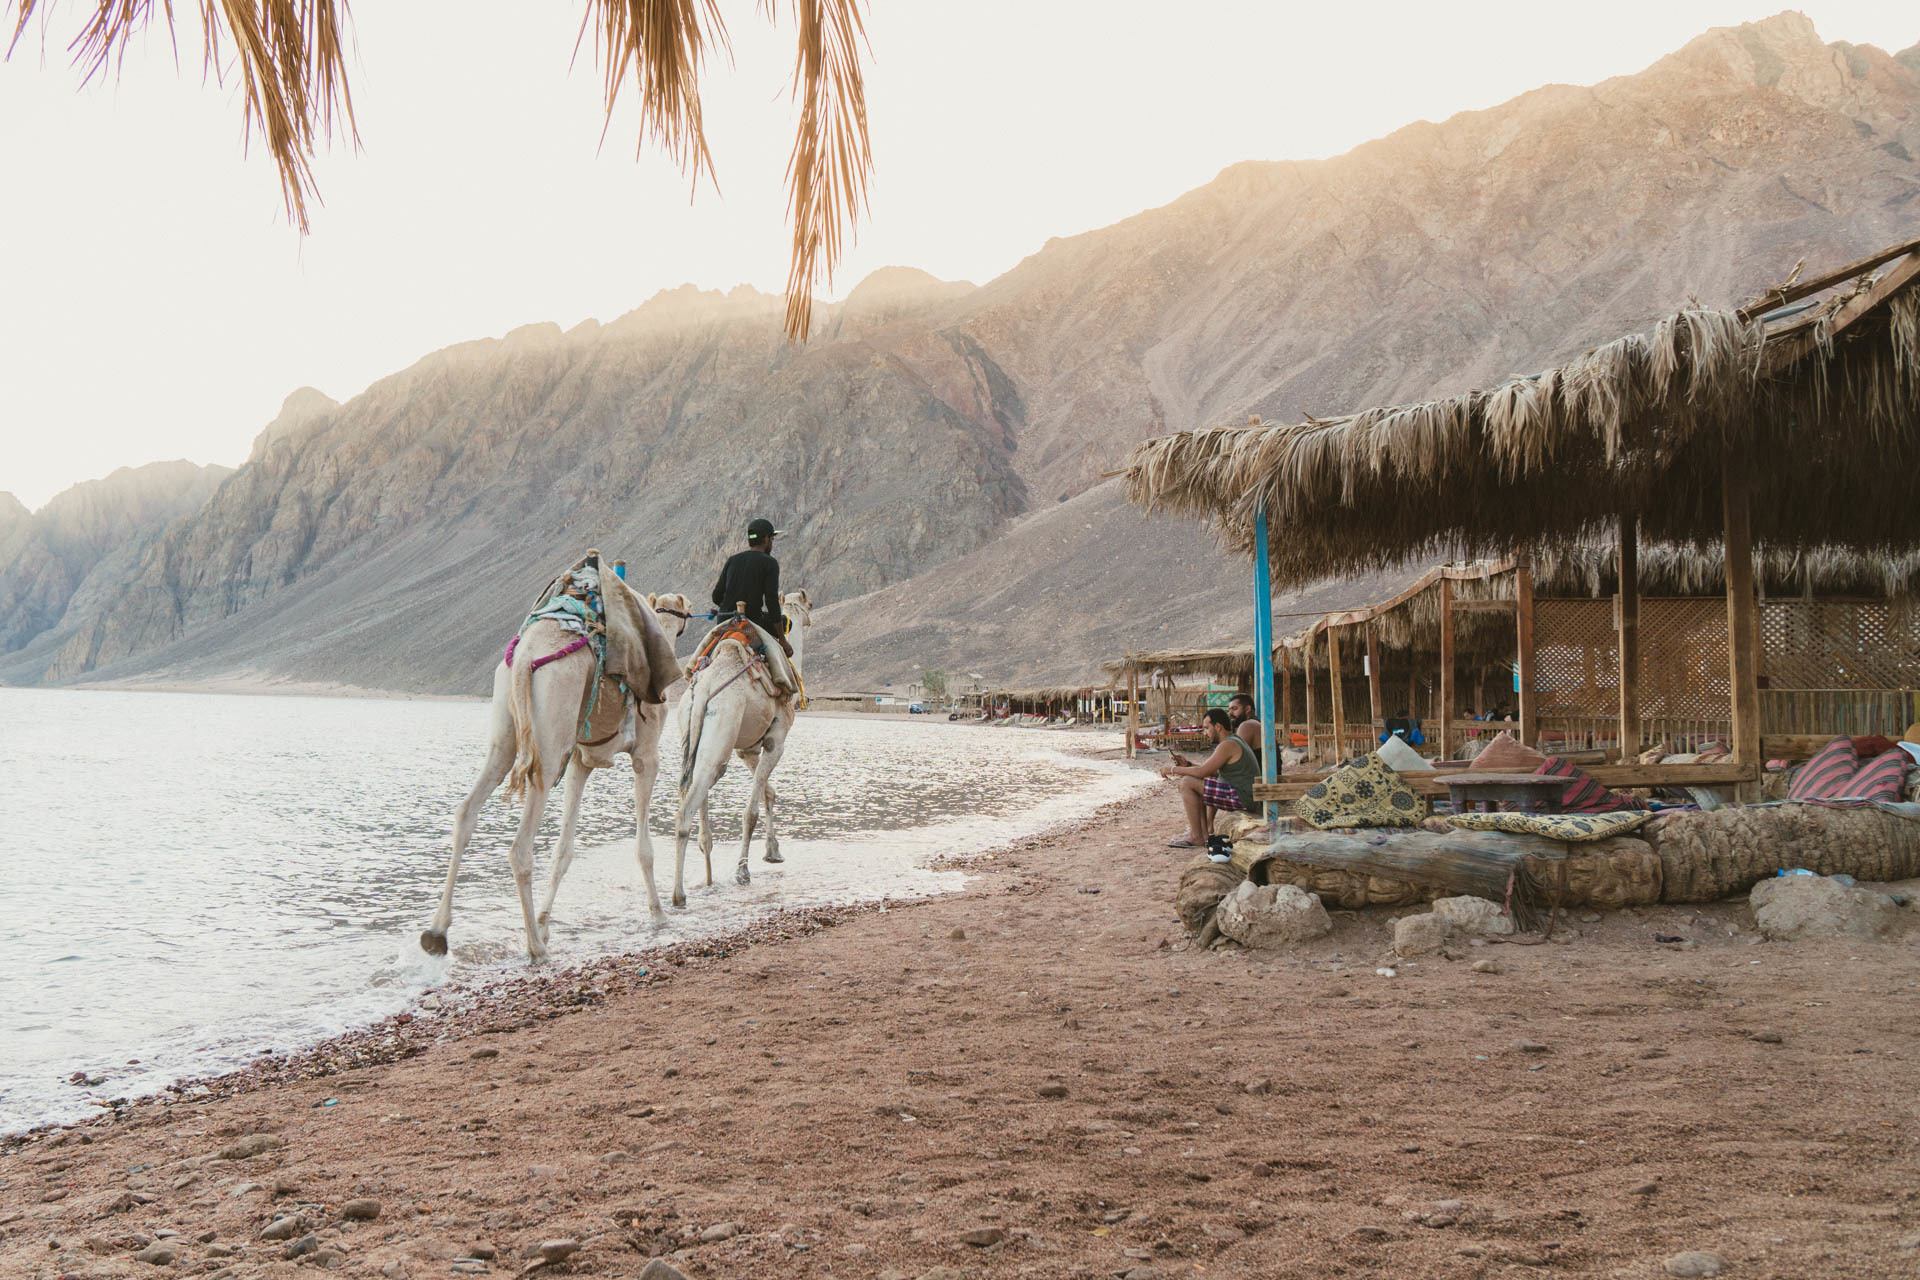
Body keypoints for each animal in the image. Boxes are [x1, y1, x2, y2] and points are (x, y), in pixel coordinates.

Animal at [424, 575, 695, 967]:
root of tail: (525, 657)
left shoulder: (580, 763)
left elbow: (563, 851)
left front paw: (545, 921)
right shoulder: (646, 757)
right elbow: (643, 847)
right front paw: (658, 913)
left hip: (506, 737)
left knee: (466, 812)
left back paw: (436, 933)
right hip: (549, 746)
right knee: (520, 847)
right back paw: (536, 948)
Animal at [672, 591, 814, 901]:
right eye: (808, 606)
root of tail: (704, 691)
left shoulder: (747, 749)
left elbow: (768, 793)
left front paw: (773, 851)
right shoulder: (775, 742)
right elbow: (751, 811)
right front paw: (743, 870)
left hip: (697, 735)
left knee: (696, 799)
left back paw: (706, 878)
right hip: (721, 736)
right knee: (688, 808)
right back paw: (679, 894)